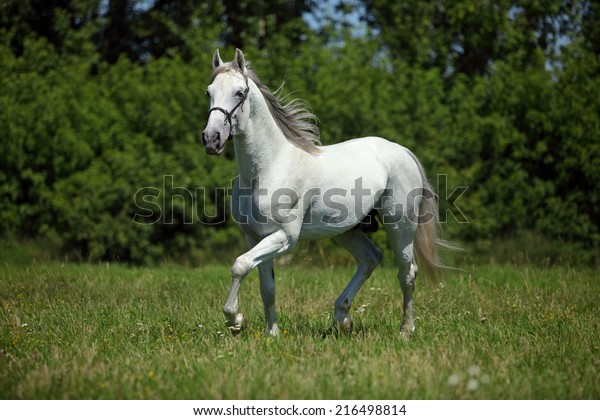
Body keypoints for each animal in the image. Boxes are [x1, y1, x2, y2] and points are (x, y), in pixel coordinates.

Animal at [202, 49, 446, 338]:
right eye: (209, 92)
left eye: (239, 93)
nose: (211, 139)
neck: (268, 168)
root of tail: (402, 151)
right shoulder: (255, 237)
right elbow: (266, 288)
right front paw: (271, 335)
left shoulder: (285, 237)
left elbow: (239, 265)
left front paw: (236, 319)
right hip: (347, 230)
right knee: (371, 258)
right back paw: (343, 317)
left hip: (400, 226)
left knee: (407, 273)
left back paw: (405, 331)